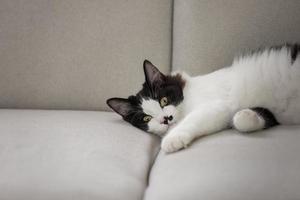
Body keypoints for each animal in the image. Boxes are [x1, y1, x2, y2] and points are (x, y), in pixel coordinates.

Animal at [106, 43, 300, 153]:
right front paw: (247, 115)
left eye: (163, 101)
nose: (166, 119)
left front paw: (172, 139)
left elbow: (193, 119)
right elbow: (249, 118)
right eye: (146, 118)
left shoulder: (215, 105)